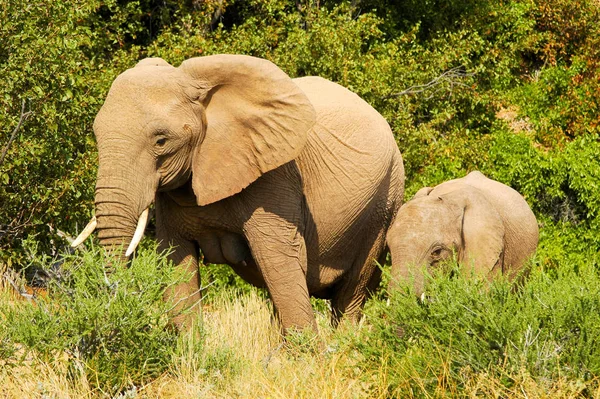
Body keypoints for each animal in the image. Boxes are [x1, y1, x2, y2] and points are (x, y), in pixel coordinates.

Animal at [72, 54, 406, 332]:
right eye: (96, 135)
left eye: (161, 141)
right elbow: (176, 261)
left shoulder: (275, 177)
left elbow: (280, 260)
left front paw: (303, 361)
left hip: (384, 202)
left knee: (350, 291)